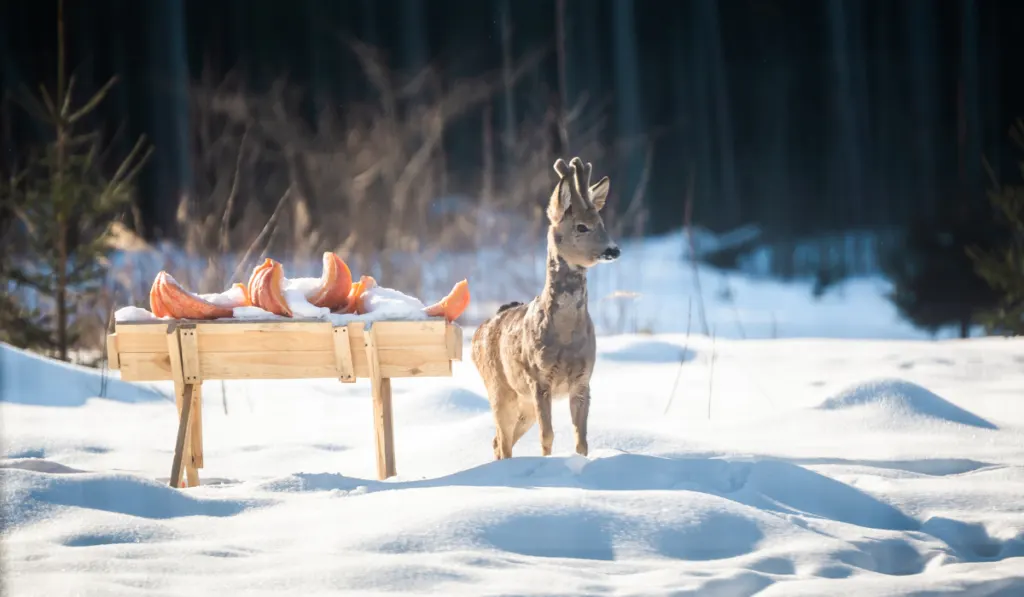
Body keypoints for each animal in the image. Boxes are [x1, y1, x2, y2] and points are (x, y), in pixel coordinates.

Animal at [468, 156, 614, 460]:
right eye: (581, 226)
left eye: (602, 223)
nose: (613, 250)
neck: (566, 335)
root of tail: (479, 330)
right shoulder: (538, 378)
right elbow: (547, 437)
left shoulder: (583, 380)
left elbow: (581, 440)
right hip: (499, 388)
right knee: (502, 439)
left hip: (522, 404)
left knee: (498, 440)